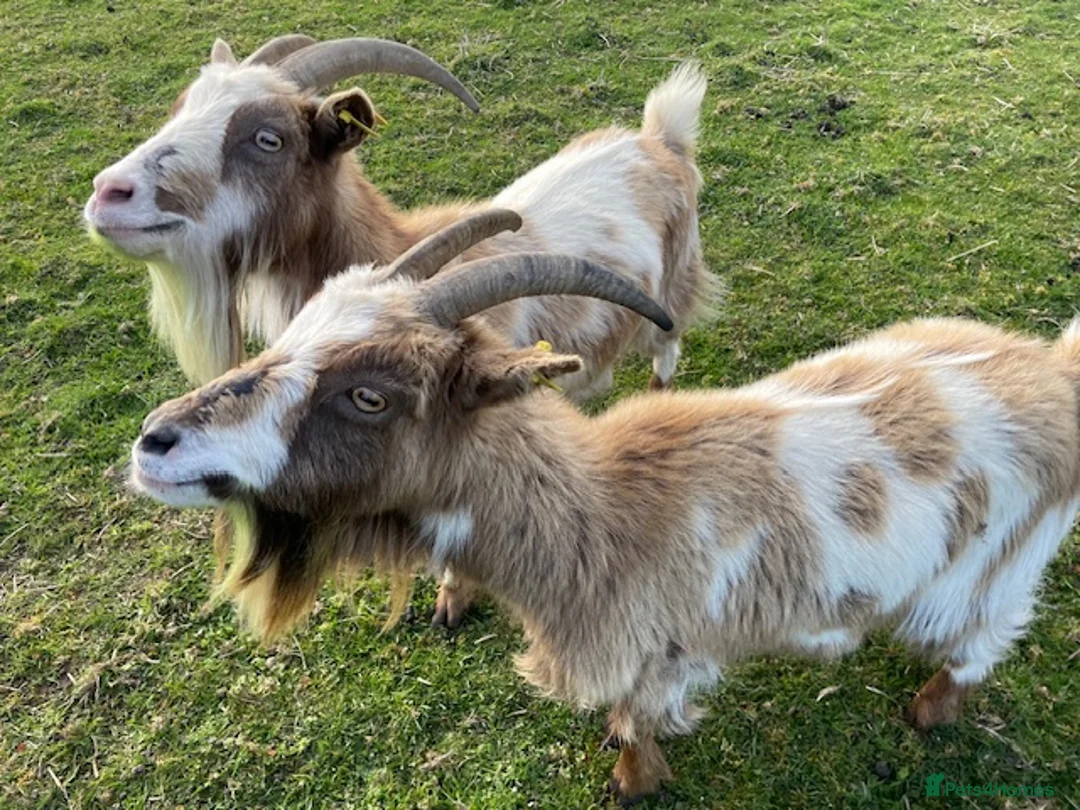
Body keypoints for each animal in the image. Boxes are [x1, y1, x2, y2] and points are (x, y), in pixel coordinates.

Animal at [130, 238, 1080, 802]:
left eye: (371, 395)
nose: (155, 442)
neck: (596, 512)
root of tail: (1053, 372)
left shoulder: (656, 652)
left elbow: (635, 723)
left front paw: (633, 781)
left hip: (1000, 564)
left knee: (982, 641)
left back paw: (931, 712)